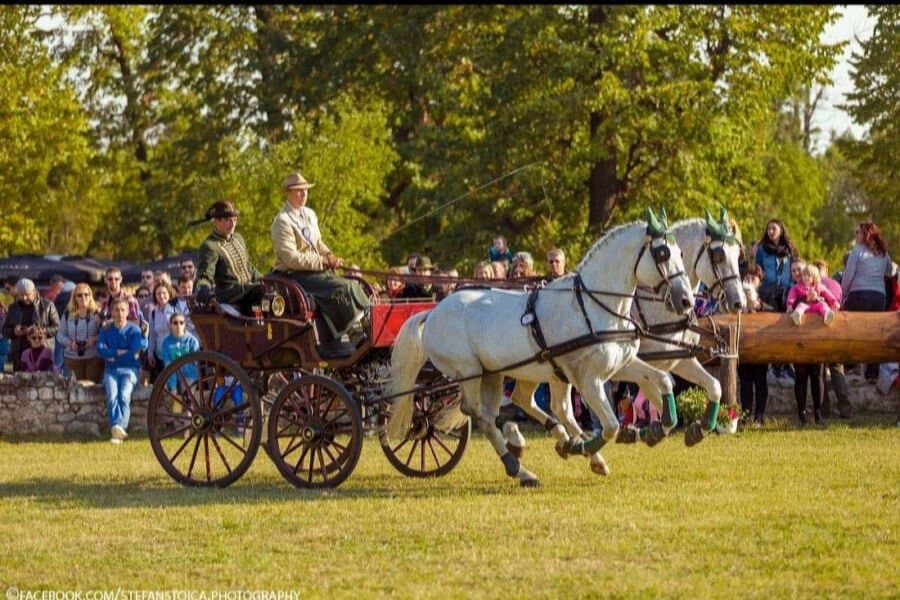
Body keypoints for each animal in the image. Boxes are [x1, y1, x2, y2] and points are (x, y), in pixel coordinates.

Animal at [386, 211, 696, 488]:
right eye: (662, 254)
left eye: (680, 252)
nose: (686, 301)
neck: (594, 306)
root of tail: (432, 312)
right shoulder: (588, 379)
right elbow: (610, 425)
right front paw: (581, 448)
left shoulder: (620, 364)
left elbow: (662, 380)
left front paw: (658, 428)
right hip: (470, 371)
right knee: (482, 414)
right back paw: (521, 468)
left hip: (503, 373)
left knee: (521, 407)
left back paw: (548, 447)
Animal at [502, 209, 748, 472]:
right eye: (719, 255)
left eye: (738, 254)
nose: (738, 302)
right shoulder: (633, 366)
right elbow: (658, 399)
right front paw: (642, 432)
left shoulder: (677, 359)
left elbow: (711, 387)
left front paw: (694, 429)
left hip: (545, 371)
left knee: (539, 403)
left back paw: (567, 443)